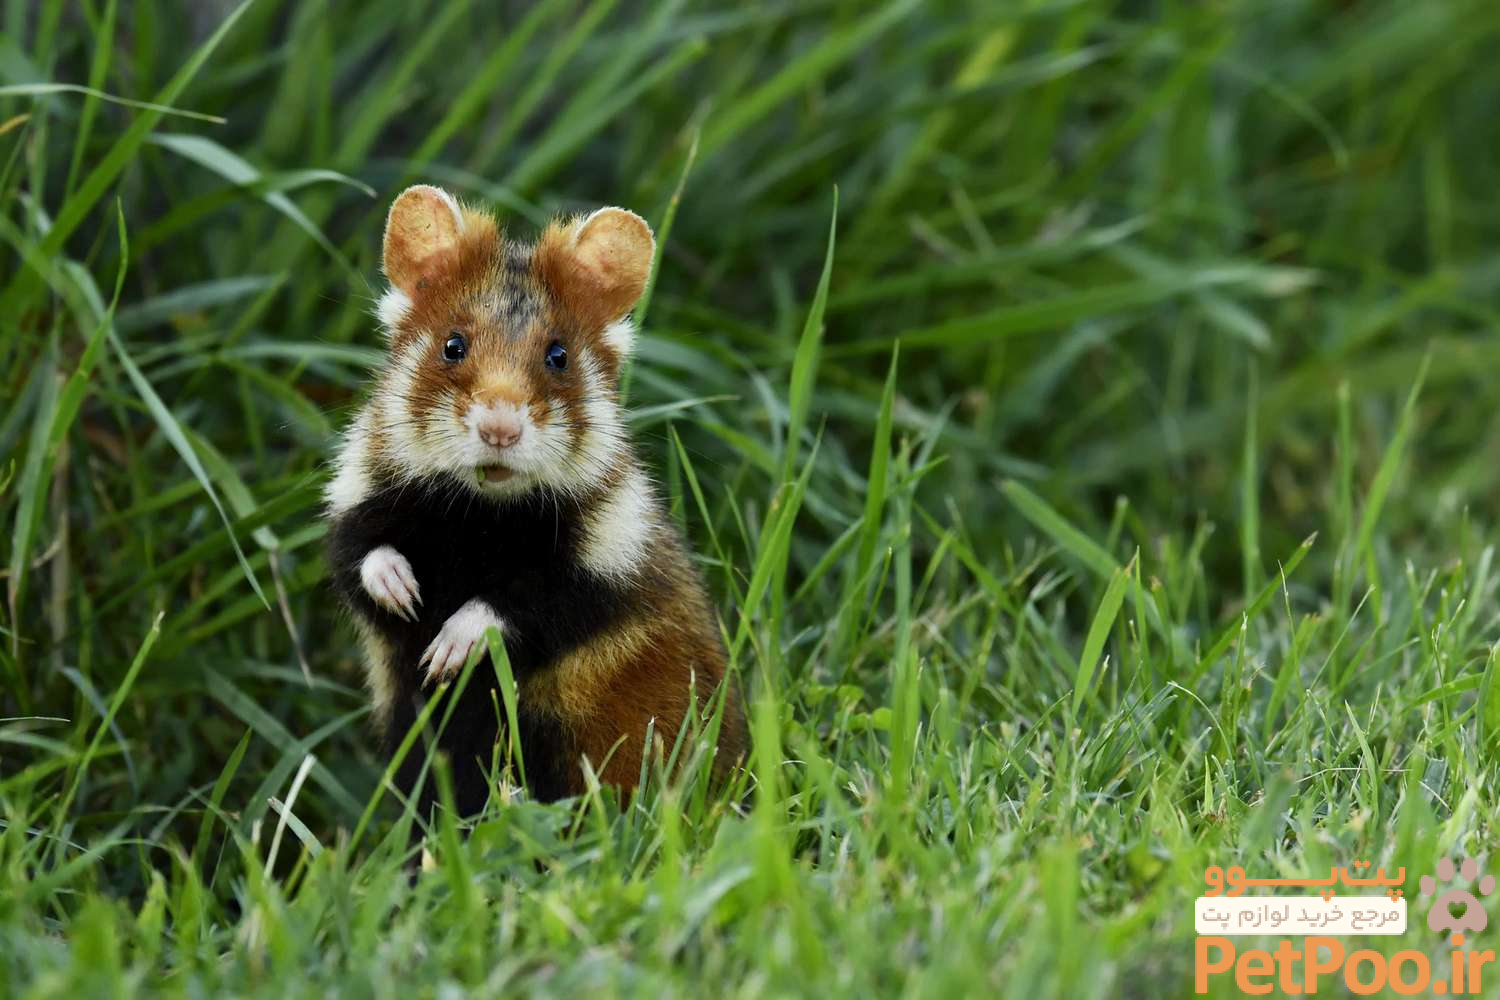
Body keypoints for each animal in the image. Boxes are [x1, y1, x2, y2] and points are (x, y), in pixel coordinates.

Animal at [324, 184, 746, 818]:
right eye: (452, 345)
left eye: (558, 355)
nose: (500, 429)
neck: (478, 514)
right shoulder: (355, 506)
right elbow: (364, 555)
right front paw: (405, 596)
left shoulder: (598, 570)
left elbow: (514, 605)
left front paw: (445, 651)